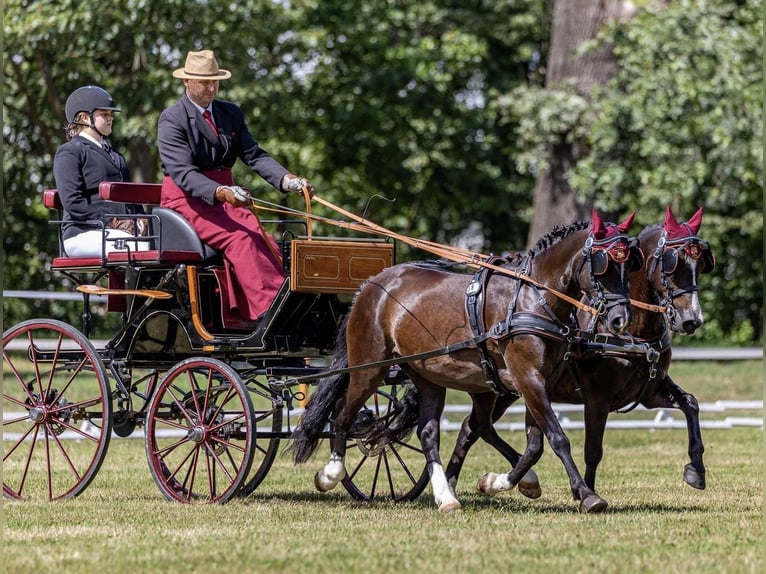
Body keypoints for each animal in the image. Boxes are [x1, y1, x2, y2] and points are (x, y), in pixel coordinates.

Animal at [292, 210, 640, 512]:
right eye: (603, 264)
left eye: (630, 265)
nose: (620, 319)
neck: (533, 298)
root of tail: (370, 285)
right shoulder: (527, 377)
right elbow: (557, 438)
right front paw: (586, 495)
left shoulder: (537, 381)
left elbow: (535, 445)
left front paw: (502, 481)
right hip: (371, 366)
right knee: (343, 414)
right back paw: (330, 474)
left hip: (433, 377)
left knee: (434, 432)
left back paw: (446, 496)